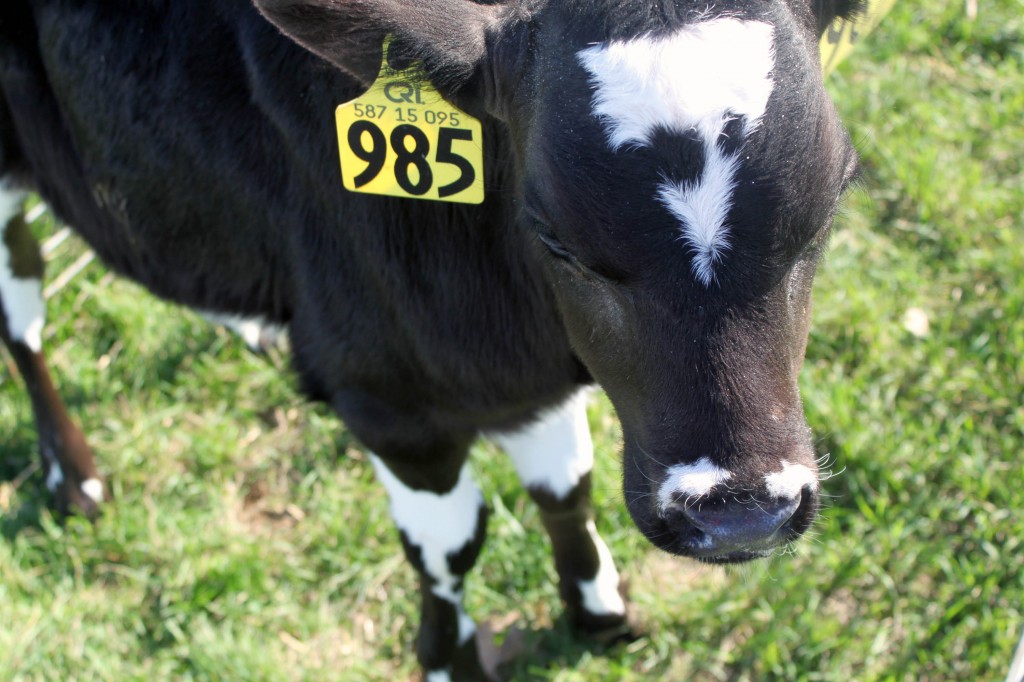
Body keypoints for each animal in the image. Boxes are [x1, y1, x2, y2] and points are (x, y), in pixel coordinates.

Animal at [0, 0, 865, 679]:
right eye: (554, 238)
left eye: (830, 205)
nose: (743, 516)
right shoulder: (389, 395)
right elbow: (449, 548)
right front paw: (450, 659)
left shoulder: (516, 370)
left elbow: (564, 490)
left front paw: (598, 609)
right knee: (21, 303)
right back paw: (73, 474)